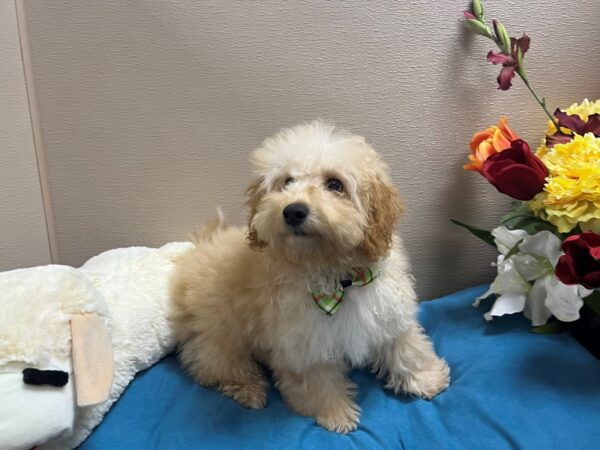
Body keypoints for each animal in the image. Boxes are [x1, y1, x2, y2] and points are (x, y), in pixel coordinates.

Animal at [170, 119, 450, 432]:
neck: (336, 276)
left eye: (334, 184)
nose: (293, 210)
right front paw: (335, 413)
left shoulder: (388, 312)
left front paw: (426, 379)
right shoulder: (304, 344)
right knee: (210, 366)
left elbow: (406, 347)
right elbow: (317, 382)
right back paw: (249, 390)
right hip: (221, 334)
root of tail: (201, 248)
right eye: (286, 182)